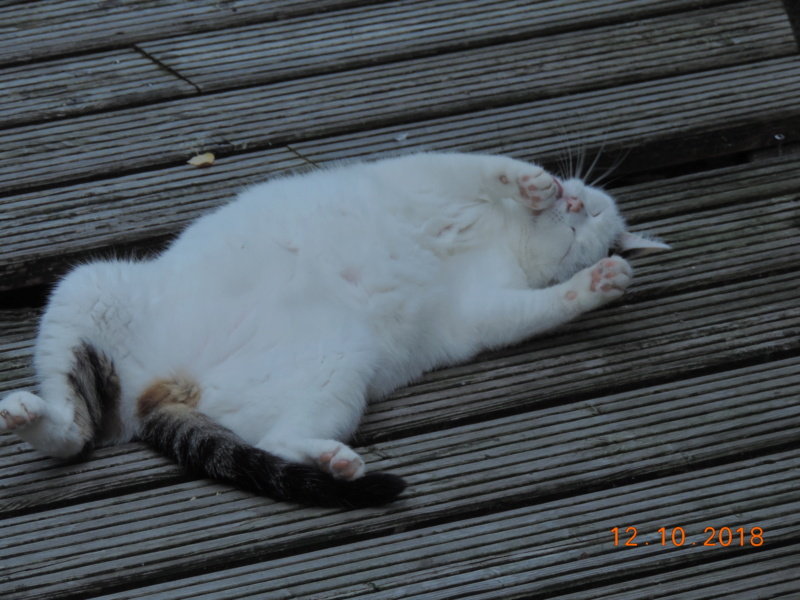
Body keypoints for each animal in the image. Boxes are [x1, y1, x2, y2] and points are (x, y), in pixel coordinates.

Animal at [0, 152, 668, 508]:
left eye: (586, 233)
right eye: (592, 210)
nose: (576, 206)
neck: (506, 238)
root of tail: (164, 386)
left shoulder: (485, 311)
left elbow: (546, 305)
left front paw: (600, 282)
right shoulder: (423, 174)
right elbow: (485, 168)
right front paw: (534, 185)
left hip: (335, 370)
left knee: (272, 438)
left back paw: (336, 462)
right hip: (85, 288)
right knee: (74, 428)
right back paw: (27, 412)